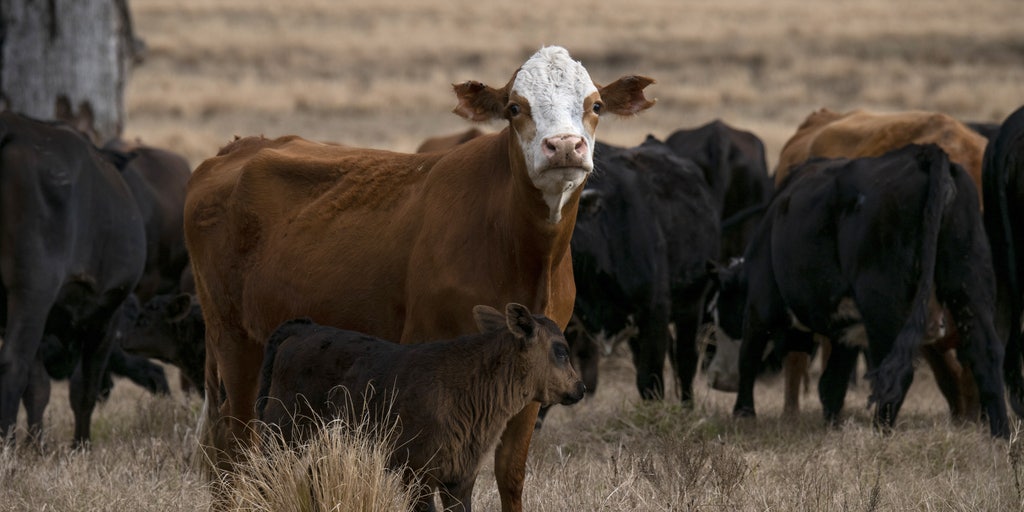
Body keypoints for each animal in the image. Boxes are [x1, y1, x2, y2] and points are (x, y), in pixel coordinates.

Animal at [0, 112, 146, 446]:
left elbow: (38, 387)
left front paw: (36, 445)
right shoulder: (107, 313)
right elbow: (84, 387)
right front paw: (81, 445)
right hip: (31, 292)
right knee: (12, 364)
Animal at [257, 303, 585, 512]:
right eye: (561, 350)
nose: (580, 388)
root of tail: (304, 329)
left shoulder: (460, 479)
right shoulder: (417, 474)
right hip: (281, 434)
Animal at [716, 144, 1008, 437]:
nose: (718, 380)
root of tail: (924, 154)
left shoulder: (759, 306)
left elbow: (748, 357)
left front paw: (743, 414)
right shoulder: (846, 332)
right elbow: (831, 384)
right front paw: (832, 426)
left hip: (882, 302)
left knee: (895, 373)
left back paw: (880, 432)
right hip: (969, 282)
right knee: (986, 355)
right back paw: (1001, 436)